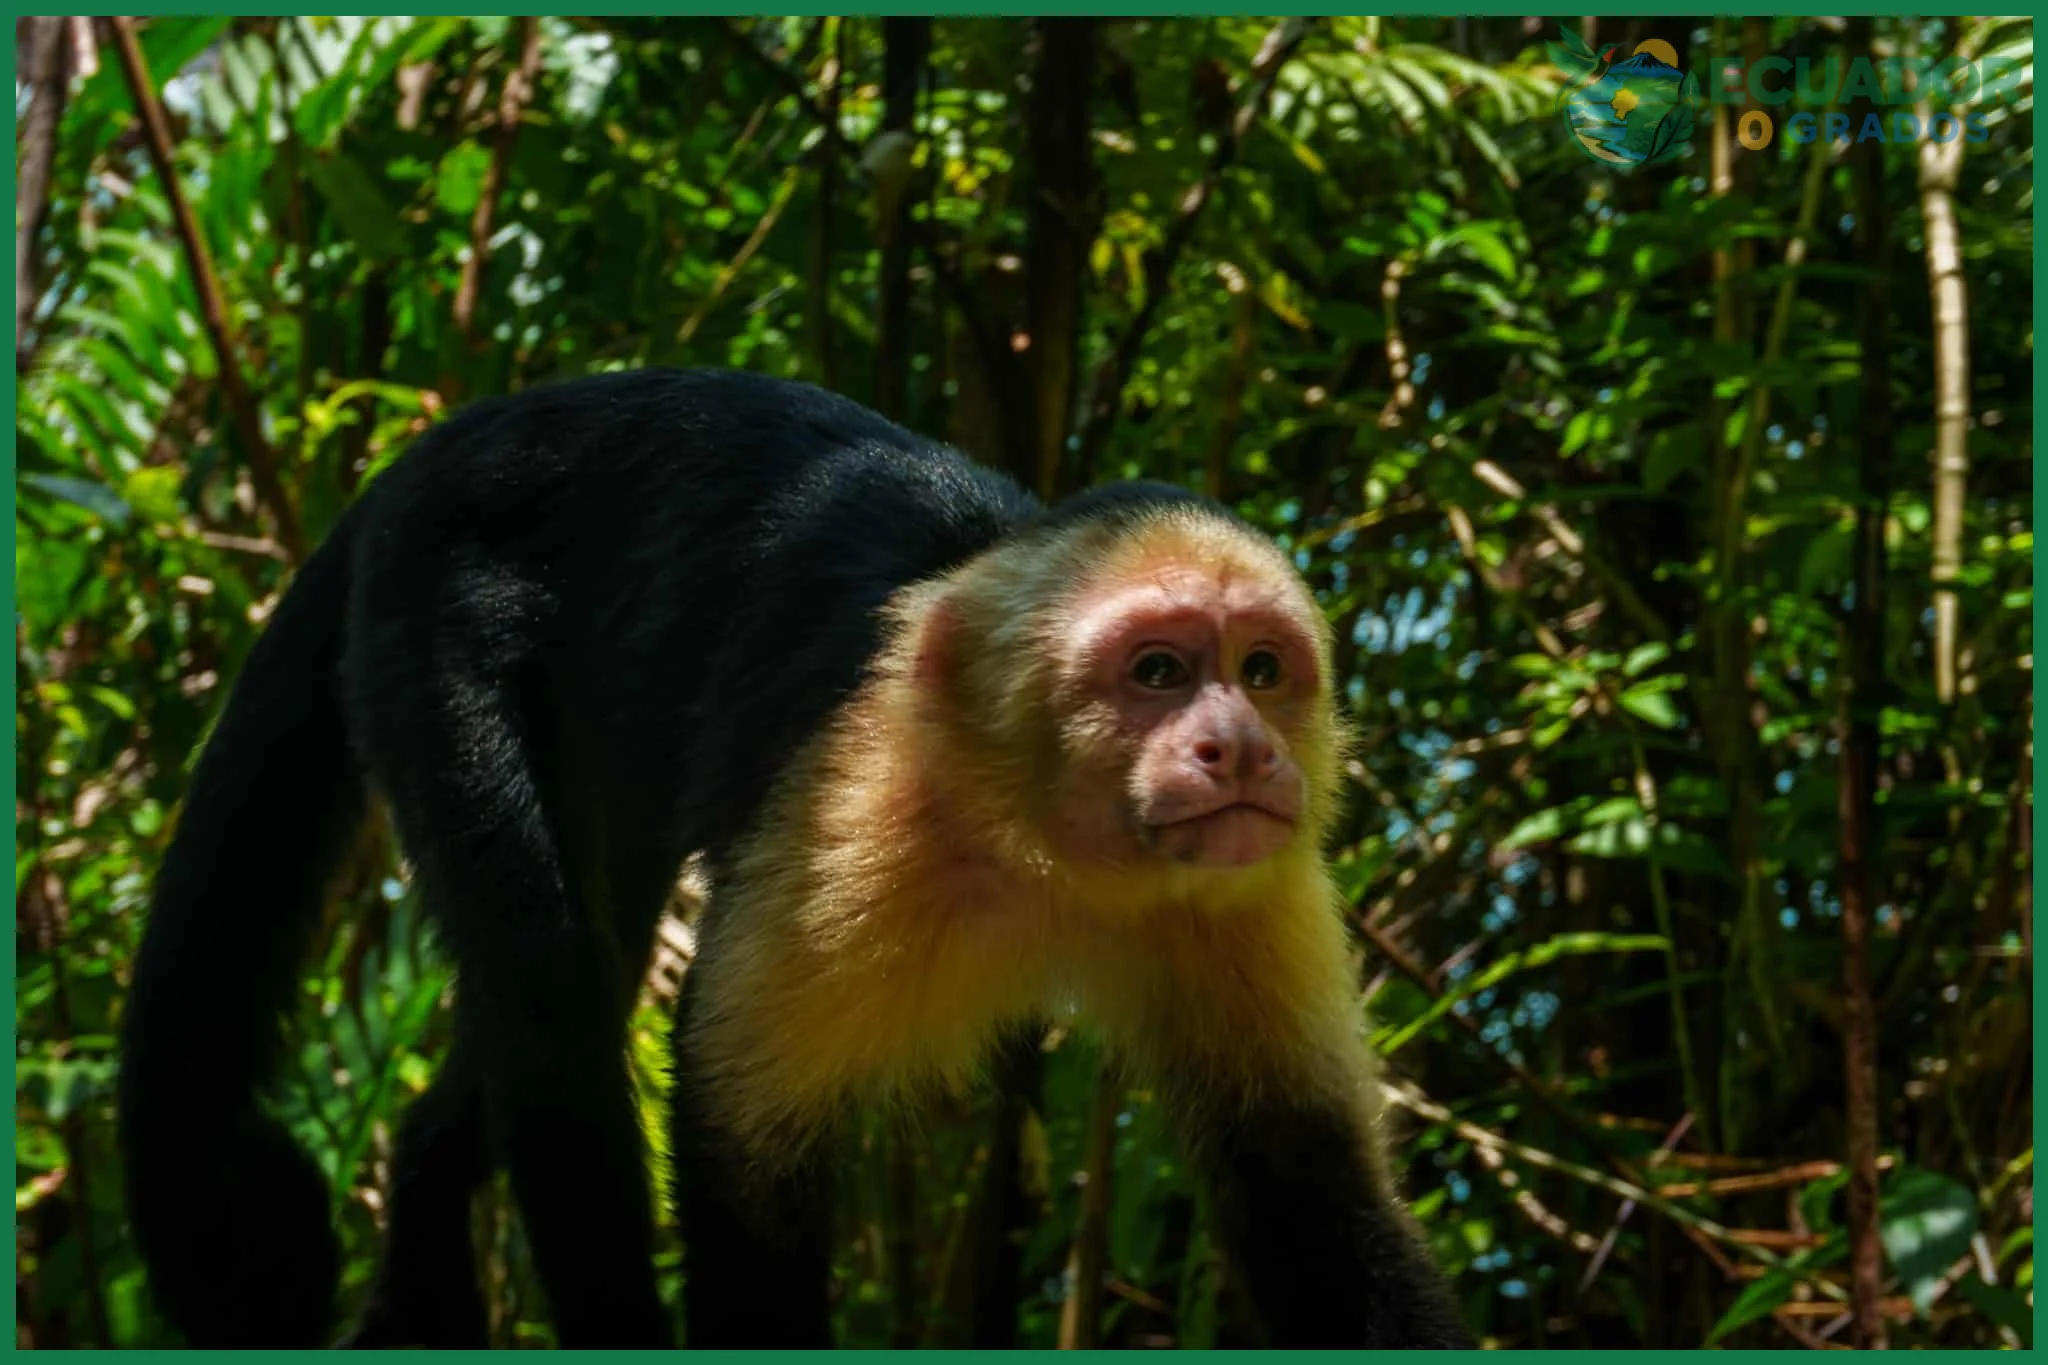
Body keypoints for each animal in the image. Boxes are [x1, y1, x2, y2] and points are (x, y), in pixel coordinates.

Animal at [115, 368, 1472, 1350]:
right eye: (1155, 672)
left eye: (1260, 669)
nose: (1238, 747)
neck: (1048, 843)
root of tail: (456, 436)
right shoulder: (853, 810)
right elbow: (736, 1136)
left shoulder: (1249, 888)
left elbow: (1307, 1181)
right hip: (434, 612)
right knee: (546, 987)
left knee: (579, 972)